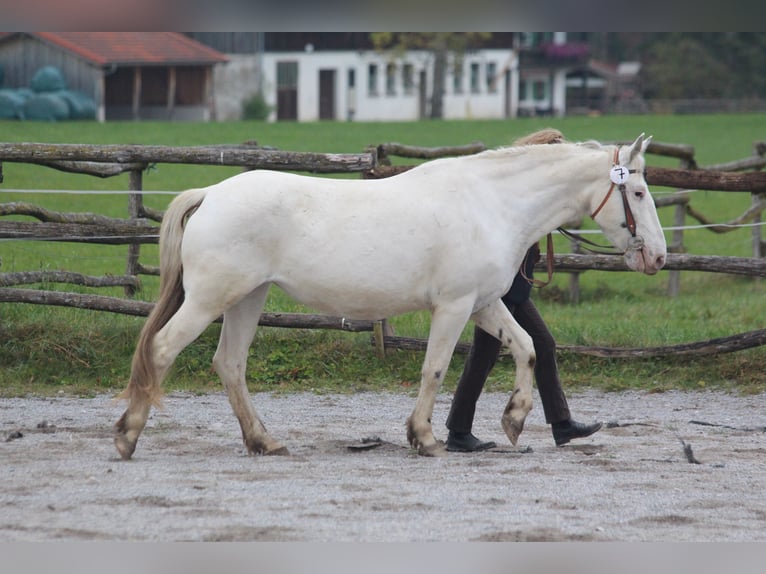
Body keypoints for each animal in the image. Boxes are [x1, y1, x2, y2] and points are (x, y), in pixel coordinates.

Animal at [114, 134, 664, 460]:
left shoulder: (484, 303)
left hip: (248, 298)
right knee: (162, 350)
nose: (657, 257)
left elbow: (527, 347)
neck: (491, 204)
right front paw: (424, 438)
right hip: (211, 299)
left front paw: (513, 421)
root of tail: (211, 193)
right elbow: (435, 369)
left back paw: (263, 441)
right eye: (637, 193)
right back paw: (127, 436)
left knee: (229, 364)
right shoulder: (454, 306)